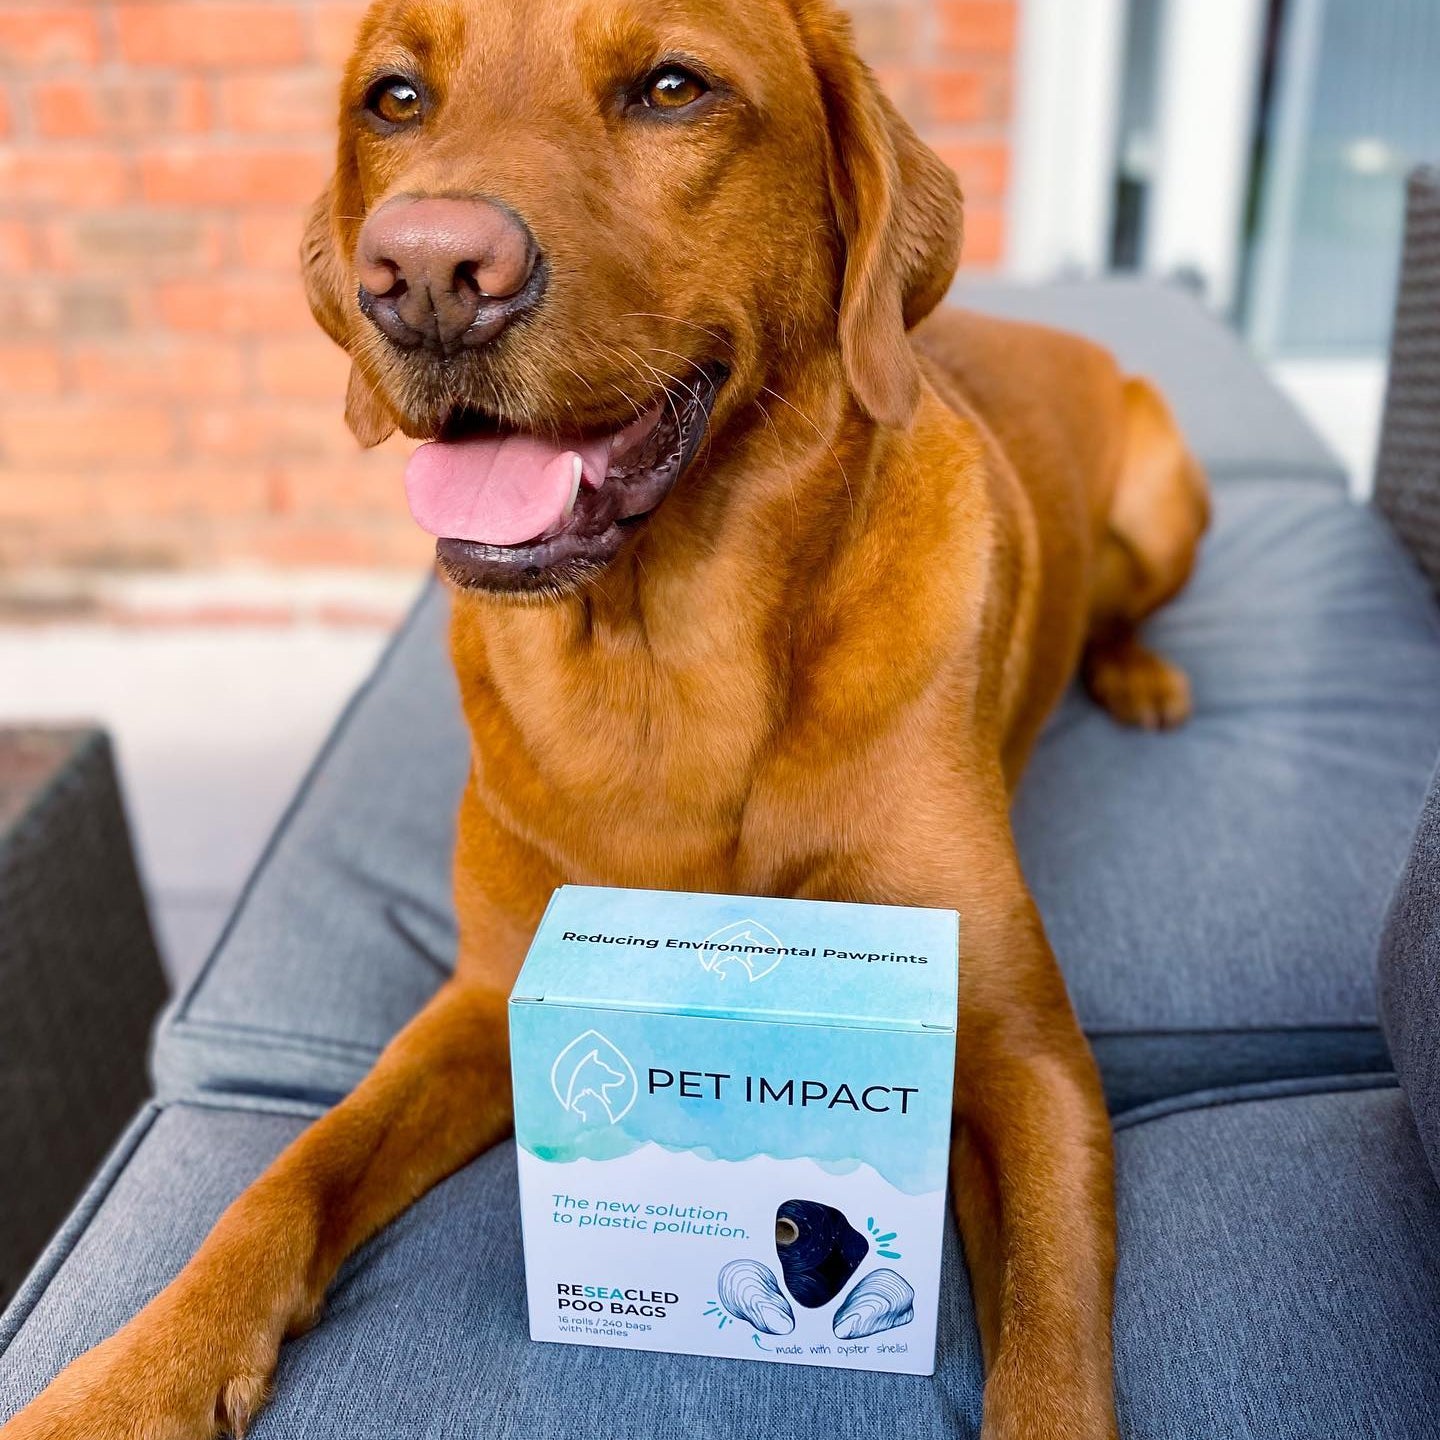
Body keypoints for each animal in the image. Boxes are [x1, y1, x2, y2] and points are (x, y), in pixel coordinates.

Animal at [5, 2, 1209, 1440]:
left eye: (674, 87)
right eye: (394, 99)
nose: (424, 272)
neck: (662, 660)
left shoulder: (1021, 1053)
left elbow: (1052, 1344)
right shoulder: (483, 996)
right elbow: (288, 1177)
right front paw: (132, 1377)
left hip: (1167, 492)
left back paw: (1138, 675)